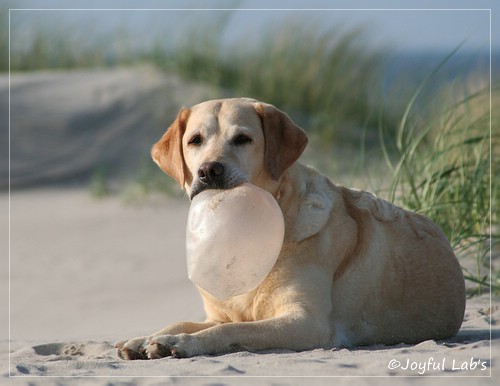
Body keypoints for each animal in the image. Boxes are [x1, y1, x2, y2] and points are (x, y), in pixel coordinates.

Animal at [115, 96, 466, 358]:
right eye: (195, 141)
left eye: (242, 139)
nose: (208, 171)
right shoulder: (216, 313)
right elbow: (185, 322)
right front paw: (146, 338)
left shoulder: (306, 321)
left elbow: (230, 329)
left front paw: (183, 343)